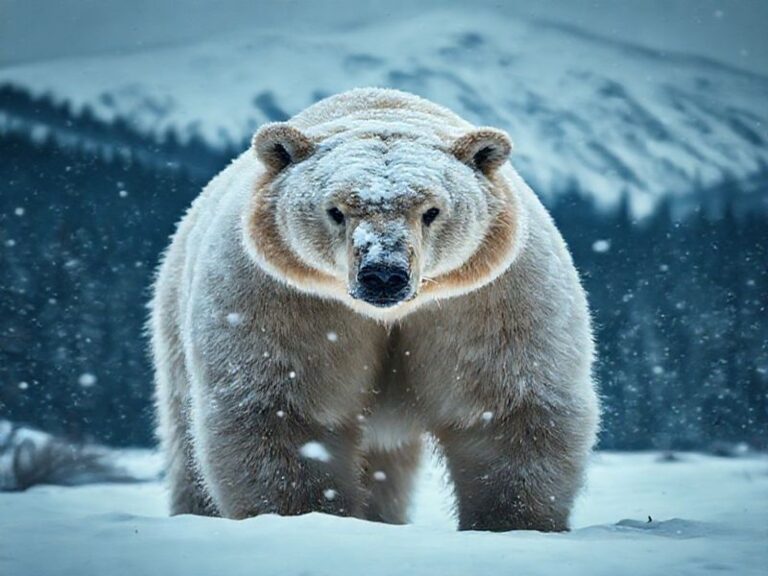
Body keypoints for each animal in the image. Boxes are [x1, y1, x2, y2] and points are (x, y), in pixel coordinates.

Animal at [150, 87, 599, 532]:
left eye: (431, 211)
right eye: (336, 211)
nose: (383, 274)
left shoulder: (489, 298)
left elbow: (505, 407)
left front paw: (511, 523)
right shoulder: (282, 299)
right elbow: (286, 410)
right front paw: (307, 516)